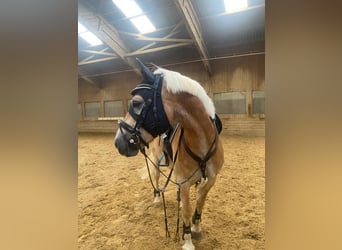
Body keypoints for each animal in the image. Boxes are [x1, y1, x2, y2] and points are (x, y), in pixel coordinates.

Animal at [113, 59, 223, 250]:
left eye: (136, 103)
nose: (118, 141)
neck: (201, 141)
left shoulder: (211, 178)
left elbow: (200, 199)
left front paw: (196, 226)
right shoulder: (185, 181)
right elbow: (187, 208)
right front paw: (187, 240)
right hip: (157, 163)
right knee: (156, 178)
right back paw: (157, 198)